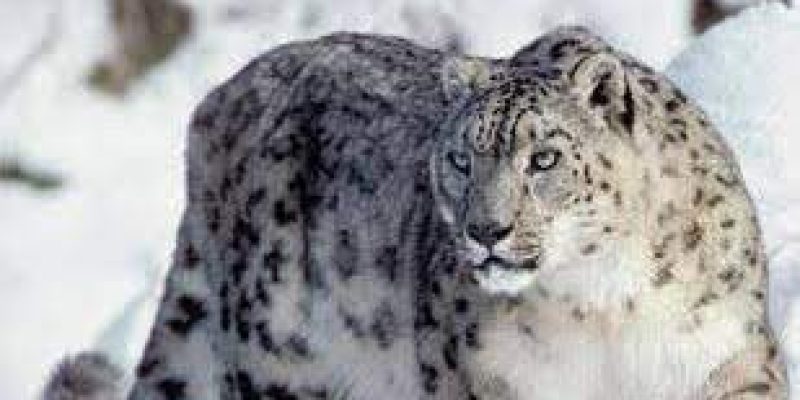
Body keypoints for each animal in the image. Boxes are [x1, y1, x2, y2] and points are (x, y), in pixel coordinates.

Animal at [47, 27, 787, 400]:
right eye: (460, 159)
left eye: (544, 158)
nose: (485, 231)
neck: (602, 305)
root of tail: (217, 102)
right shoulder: (487, 381)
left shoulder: (723, 353)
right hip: (277, 356)